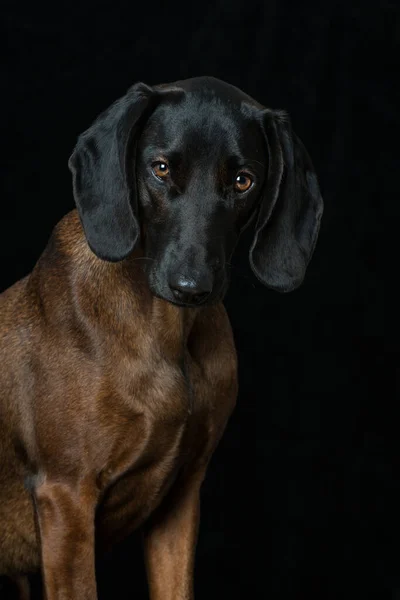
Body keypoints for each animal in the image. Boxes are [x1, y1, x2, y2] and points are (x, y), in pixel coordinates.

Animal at [0, 77, 324, 596]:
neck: (168, 336)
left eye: (243, 180)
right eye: (161, 168)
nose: (190, 288)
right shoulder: (66, 501)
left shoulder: (181, 499)